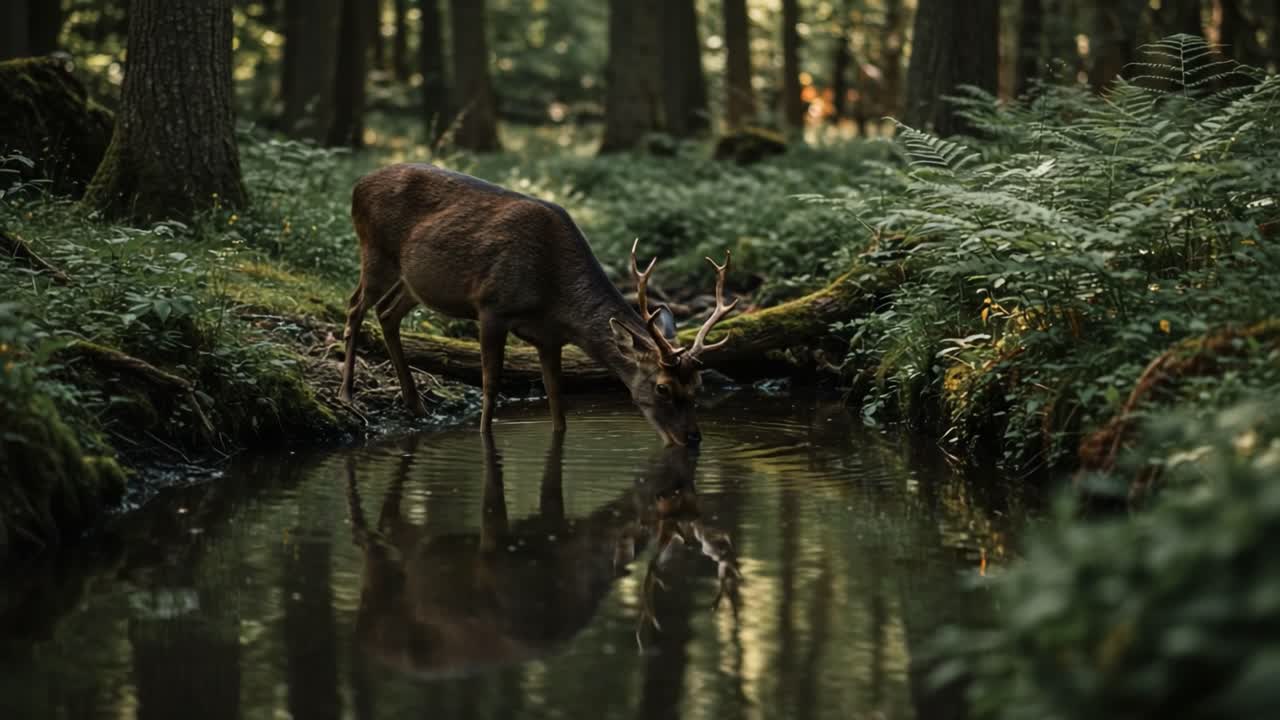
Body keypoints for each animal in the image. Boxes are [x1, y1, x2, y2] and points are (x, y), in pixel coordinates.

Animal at [338, 164, 738, 446]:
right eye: (662, 388)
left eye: (699, 385)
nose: (693, 439)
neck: (554, 297)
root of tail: (357, 185)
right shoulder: (491, 306)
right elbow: (491, 384)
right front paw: (484, 436)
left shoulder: (549, 337)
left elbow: (557, 398)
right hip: (374, 251)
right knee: (355, 306)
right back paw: (347, 394)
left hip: (413, 281)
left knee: (387, 312)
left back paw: (416, 404)